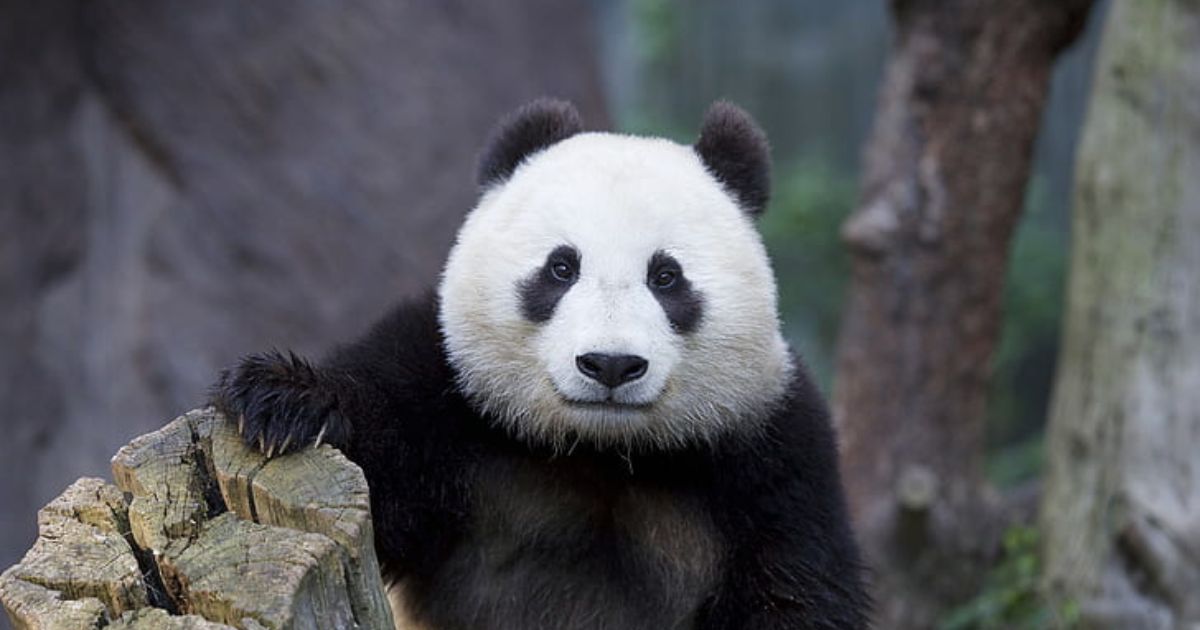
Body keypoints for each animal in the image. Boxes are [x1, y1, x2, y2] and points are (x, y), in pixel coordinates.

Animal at [213, 99, 869, 630]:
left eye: (666, 276)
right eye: (561, 267)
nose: (610, 365)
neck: (600, 451)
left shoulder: (774, 459)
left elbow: (797, 591)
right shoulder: (447, 389)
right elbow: (380, 450)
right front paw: (281, 401)